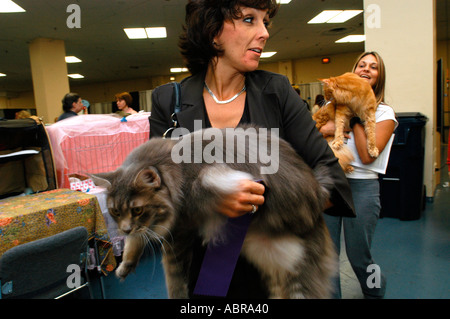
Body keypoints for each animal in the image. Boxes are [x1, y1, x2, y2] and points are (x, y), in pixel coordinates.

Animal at [92, 127, 338, 300]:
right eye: (115, 211)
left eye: (137, 209)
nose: (124, 229)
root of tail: (318, 191)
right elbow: (135, 241)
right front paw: (126, 264)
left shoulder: (179, 232)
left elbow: (175, 280)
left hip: (300, 272)